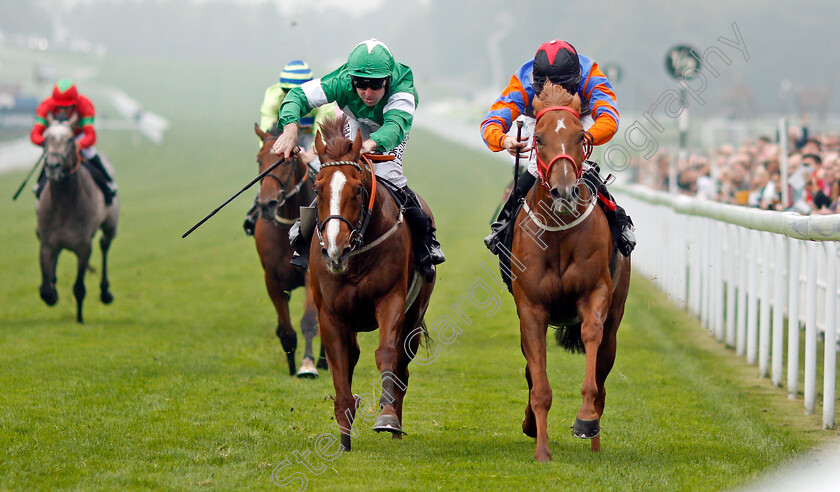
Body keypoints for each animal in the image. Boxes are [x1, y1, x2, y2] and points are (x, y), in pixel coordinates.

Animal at [34, 115, 118, 322]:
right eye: (46, 139)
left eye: (70, 140)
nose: (52, 166)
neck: (64, 205)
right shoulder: (47, 244)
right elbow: (46, 290)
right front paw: (51, 292)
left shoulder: (83, 246)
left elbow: (79, 287)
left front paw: (79, 318)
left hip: (110, 225)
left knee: (105, 245)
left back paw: (105, 292)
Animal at [253, 125, 324, 378]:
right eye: (259, 160)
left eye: (287, 162)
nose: (267, 204)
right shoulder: (272, 279)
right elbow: (285, 329)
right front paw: (292, 365)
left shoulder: (311, 275)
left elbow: (309, 322)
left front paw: (307, 365)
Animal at [312, 114, 436, 450]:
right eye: (317, 189)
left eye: (357, 189)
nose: (335, 248)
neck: (356, 258)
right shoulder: (330, 315)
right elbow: (340, 364)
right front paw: (343, 437)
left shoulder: (391, 300)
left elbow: (387, 354)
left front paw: (387, 417)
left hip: (414, 317)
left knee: (402, 367)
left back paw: (395, 425)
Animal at [512, 81, 632, 462]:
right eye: (538, 139)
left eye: (581, 136)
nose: (563, 191)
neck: (559, 232)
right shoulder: (531, 308)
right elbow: (538, 382)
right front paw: (541, 450)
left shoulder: (595, 293)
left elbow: (592, 336)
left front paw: (585, 419)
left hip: (616, 319)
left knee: (604, 370)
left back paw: (594, 438)